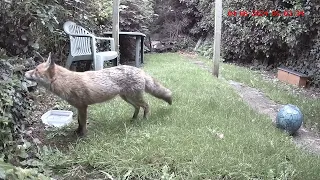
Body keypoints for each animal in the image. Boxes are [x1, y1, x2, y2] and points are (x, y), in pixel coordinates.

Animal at [24, 52, 172, 136]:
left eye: (35, 70)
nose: (24, 73)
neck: (67, 83)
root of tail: (140, 70)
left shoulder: (83, 107)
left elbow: (83, 123)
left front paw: (82, 136)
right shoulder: (79, 108)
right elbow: (79, 122)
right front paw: (77, 132)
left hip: (133, 97)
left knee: (146, 106)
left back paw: (144, 119)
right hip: (127, 98)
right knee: (138, 107)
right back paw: (134, 118)